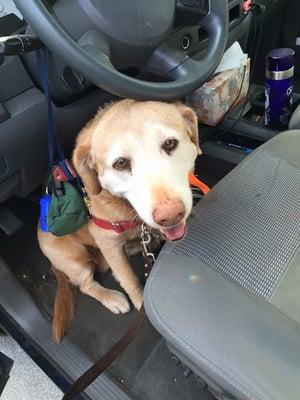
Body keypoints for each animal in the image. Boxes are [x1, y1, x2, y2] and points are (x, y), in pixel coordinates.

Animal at [38, 99, 202, 340]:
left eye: (170, 143)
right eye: (121, 163)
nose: (170, 215)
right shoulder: (107, 241)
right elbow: (130, 279)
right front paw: (141, 302)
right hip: (76, 258)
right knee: (86, 284)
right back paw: (111, 297)